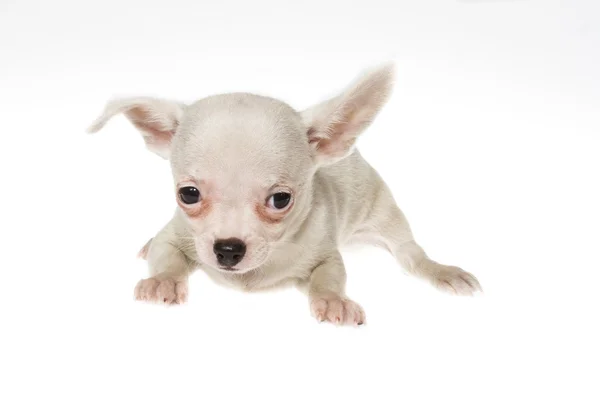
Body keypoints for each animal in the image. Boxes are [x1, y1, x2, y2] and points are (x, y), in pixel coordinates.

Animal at [89, 63, 480, 324]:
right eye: (188, 194)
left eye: (280, 200)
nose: (228, 249)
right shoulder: (177, 235)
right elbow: (166, 255)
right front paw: (162, 282)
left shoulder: (327, 254)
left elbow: (329, 277)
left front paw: (333, 300)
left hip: (385, 214)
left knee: (410, 254)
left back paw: (440, 270)